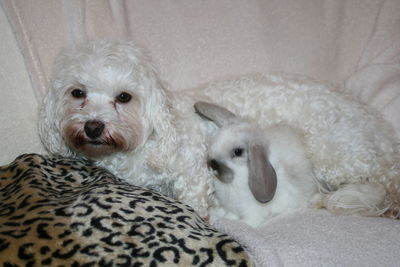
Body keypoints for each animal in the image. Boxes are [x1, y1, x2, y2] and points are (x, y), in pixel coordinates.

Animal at [194, 101, 388, 227]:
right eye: (216, 139)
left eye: (238, 152)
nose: (211, 164)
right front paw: (213, 216)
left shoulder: (252, 214)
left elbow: (240, 222)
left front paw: (219, 221)